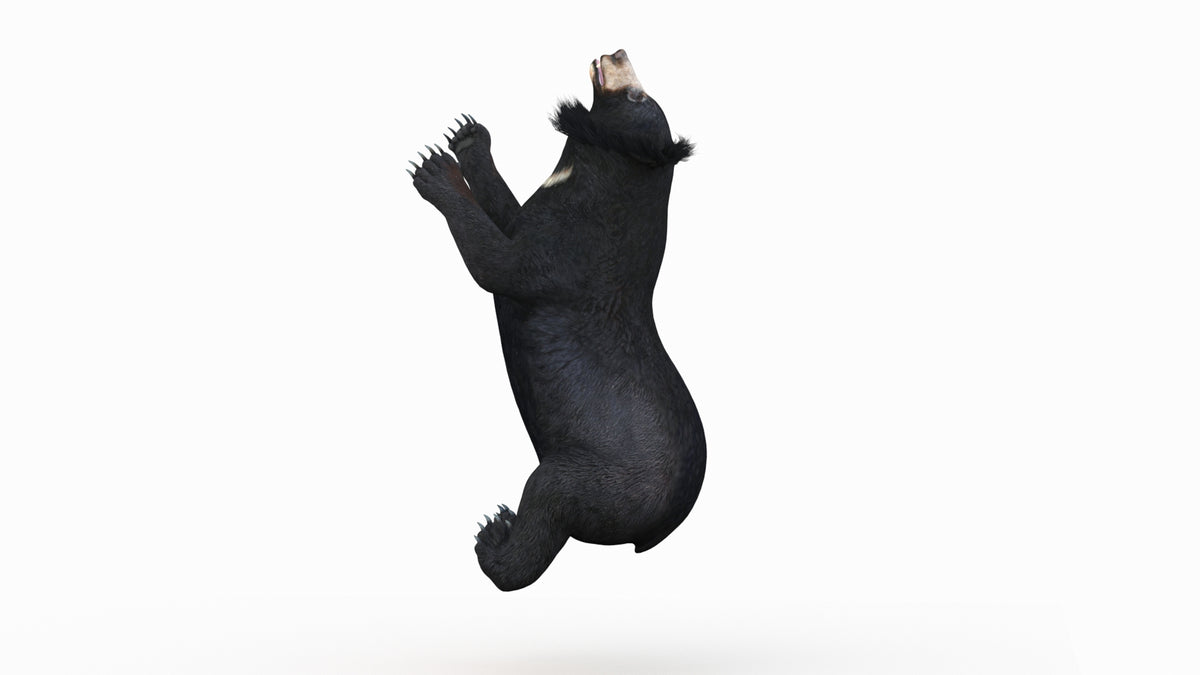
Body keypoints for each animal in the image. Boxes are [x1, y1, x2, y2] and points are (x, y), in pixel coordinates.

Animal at [408, 49, 705, 591]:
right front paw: (466, 135)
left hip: (589, 476)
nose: (617, 52)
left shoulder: (570, 251)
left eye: (638, 97)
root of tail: (658, 528)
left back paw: (495, 535)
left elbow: (498, 265)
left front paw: (435, 169)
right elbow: (509, 214)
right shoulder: (540, 217)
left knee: (547, 510)